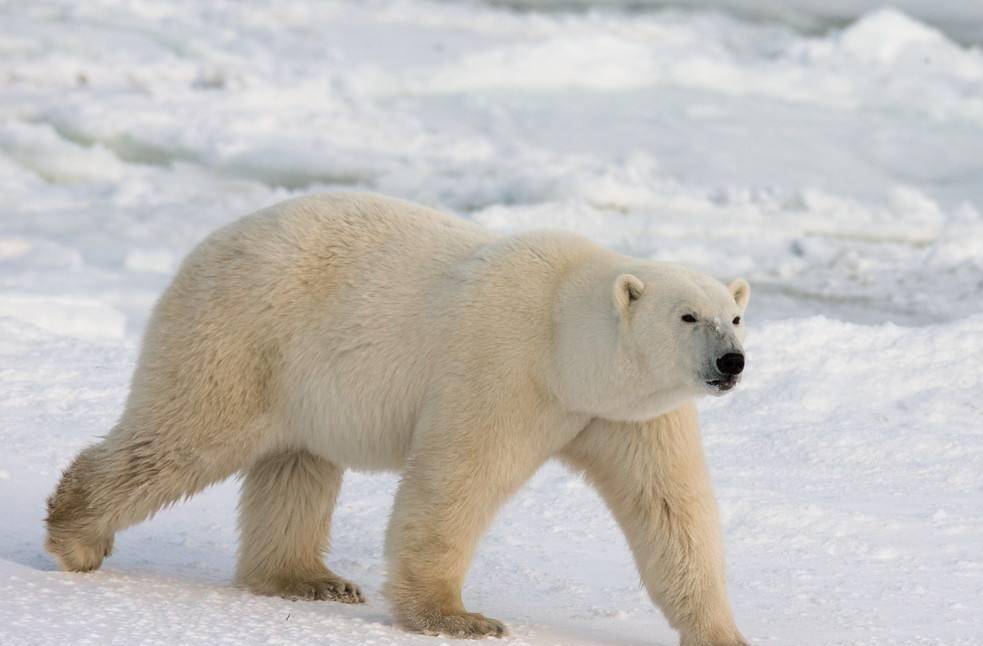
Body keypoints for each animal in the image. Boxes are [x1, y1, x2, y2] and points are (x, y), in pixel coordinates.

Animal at [46, 192, 748, 646]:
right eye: (688, 315)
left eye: (735, 314)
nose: (732, 361)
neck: (565, 339)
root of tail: (209, 243)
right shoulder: (502, 368)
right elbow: (457, 479)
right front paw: (459, 618)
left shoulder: (629, 414)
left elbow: (669, 509)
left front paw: (724, 633)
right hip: (241, 335)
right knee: (183, 436)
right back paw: (76, 535)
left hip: (294, 378)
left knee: (296, 467)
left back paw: (308, 579)